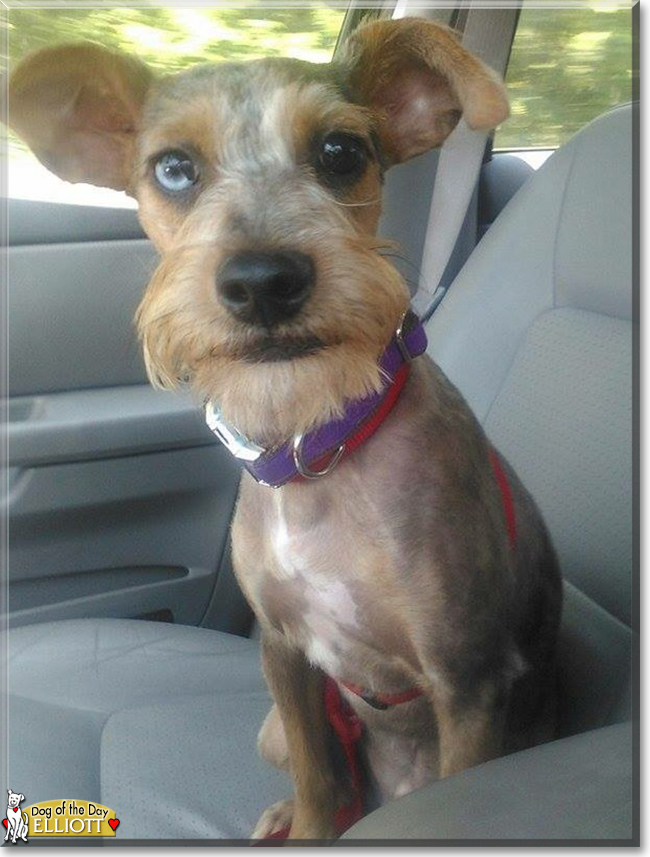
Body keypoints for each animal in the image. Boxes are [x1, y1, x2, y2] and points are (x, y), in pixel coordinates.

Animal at [6, 16, 560, 840]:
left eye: (341, 152)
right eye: (173, 168)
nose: (262, 281)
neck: (313, 446)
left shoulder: (470, 681)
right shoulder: (285, 652)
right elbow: (319, 779)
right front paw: (306, 820)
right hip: (270, 725)